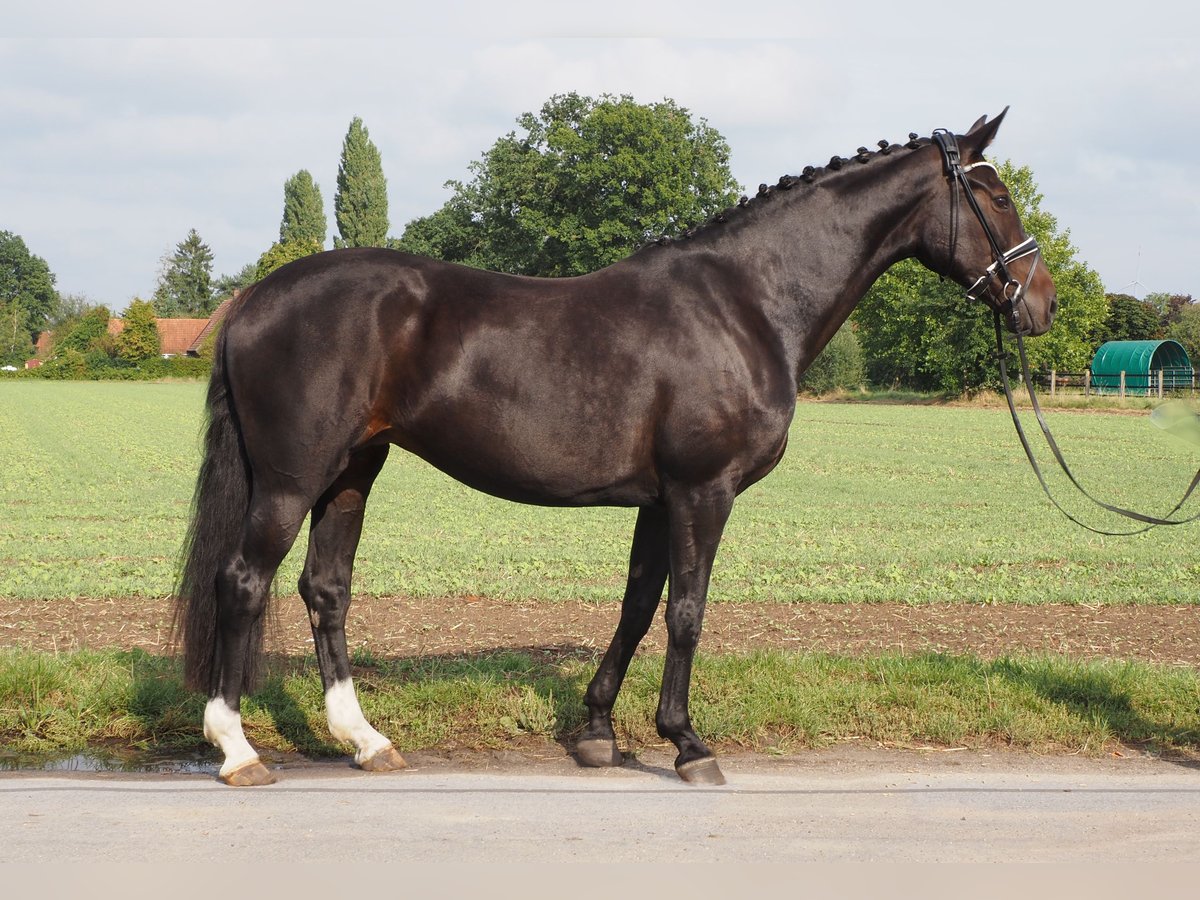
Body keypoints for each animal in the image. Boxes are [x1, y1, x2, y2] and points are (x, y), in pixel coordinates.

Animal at [174, 111, 1056, 787]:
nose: (1040, 302)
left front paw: (597, 731)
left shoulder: (660, 501)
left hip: (353, 472)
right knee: (243, 581)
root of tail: (253, 298)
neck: (744, 301)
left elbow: (637, 606)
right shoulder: (704, 491)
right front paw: (688, 744)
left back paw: (365, 740)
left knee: (325, 589)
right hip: (291, 480)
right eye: (997, 195)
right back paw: (238, 750)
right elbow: (687, 613)